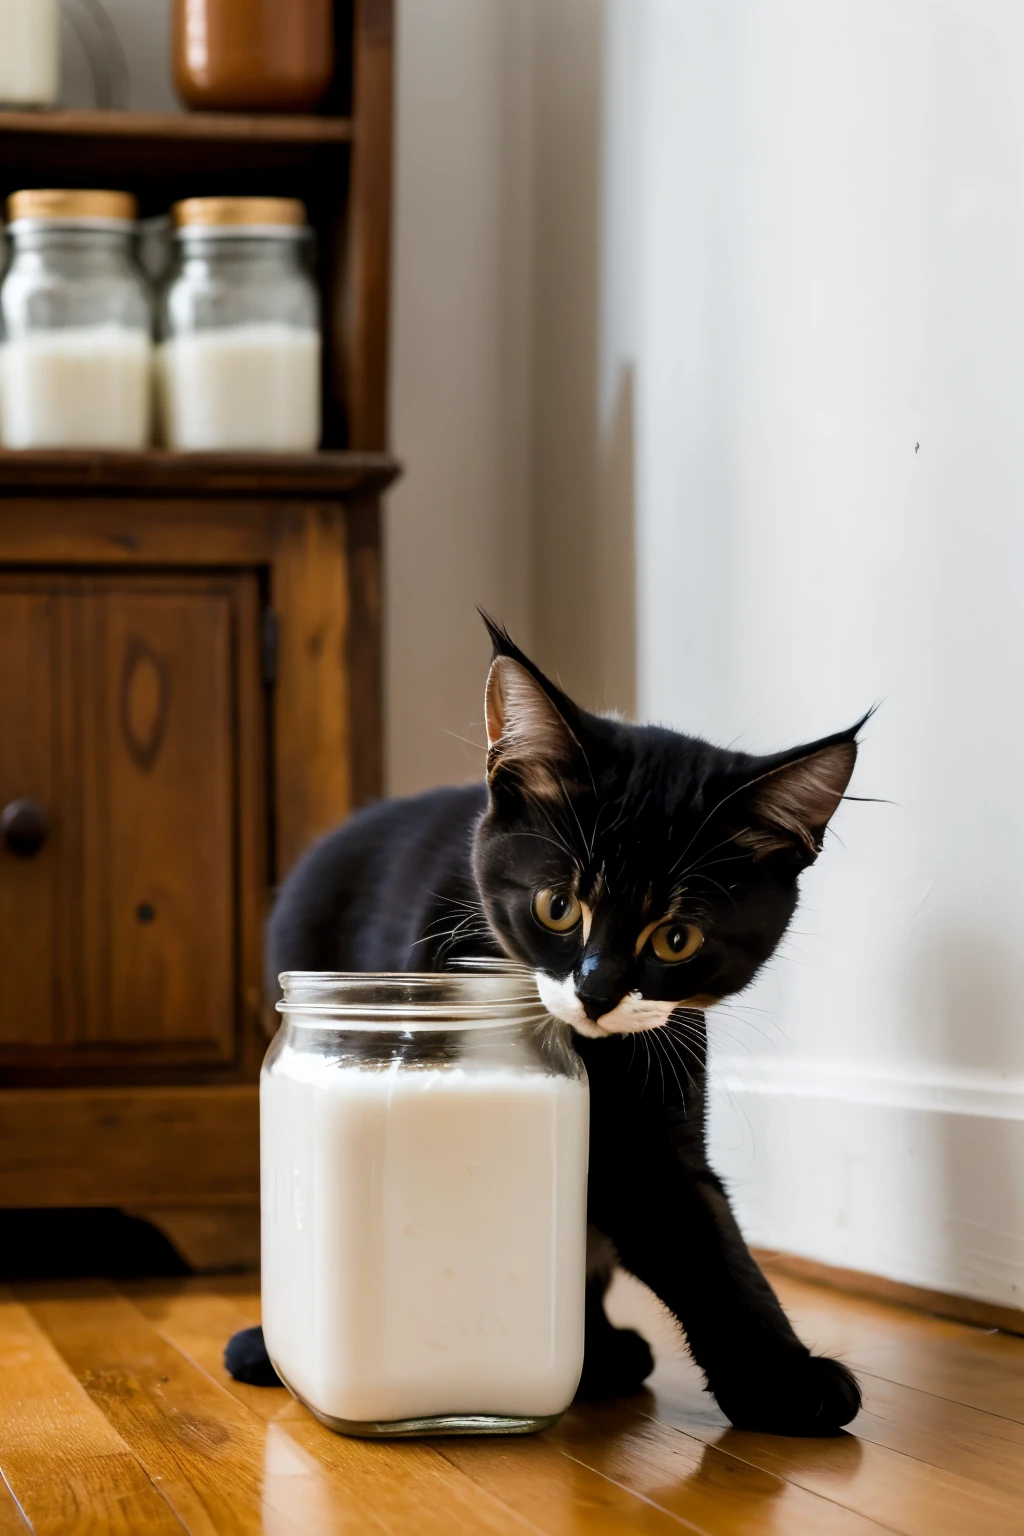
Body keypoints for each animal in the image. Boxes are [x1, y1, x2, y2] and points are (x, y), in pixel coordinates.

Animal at [224, 617, 865, 1431]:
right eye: (557, 906)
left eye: (676, 939)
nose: (596, 991)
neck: (591, 1053)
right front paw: (786, 1378)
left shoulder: (659, 1096)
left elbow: (698, 1227)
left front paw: (780, 1369)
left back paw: (604, 1351)